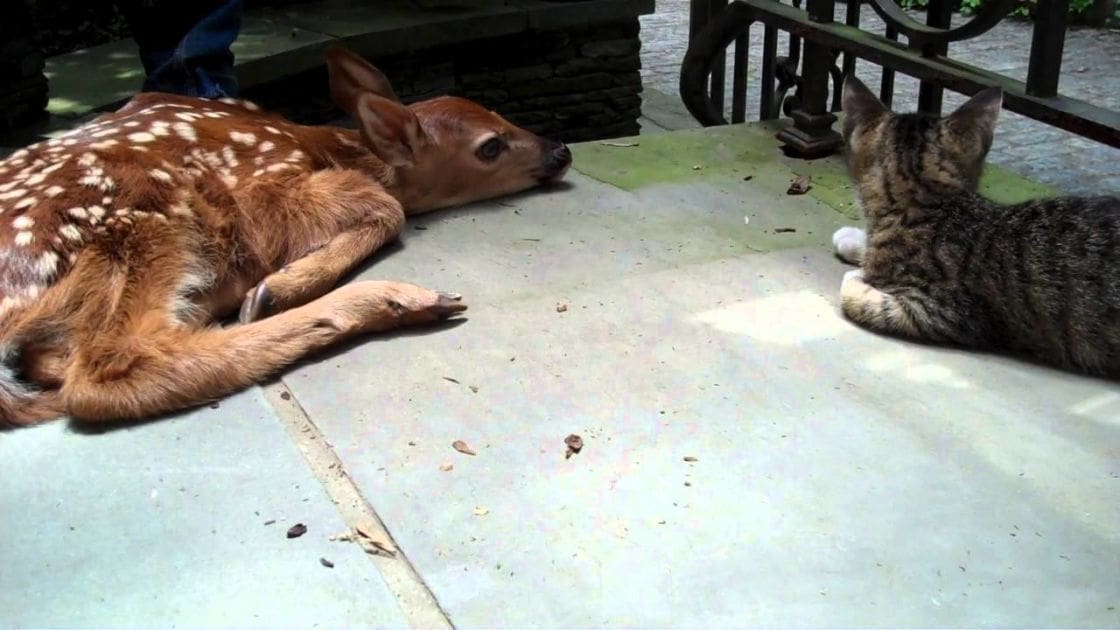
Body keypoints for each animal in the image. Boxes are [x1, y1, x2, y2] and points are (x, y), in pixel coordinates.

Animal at [0, 46, 572, 426]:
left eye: (499, 113)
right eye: (490, 147)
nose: (562, 149)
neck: (334, 149)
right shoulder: (272, 192)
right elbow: (388, 209)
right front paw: (281, 284)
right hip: (148, 220)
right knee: (106, 371)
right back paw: (391, 299)